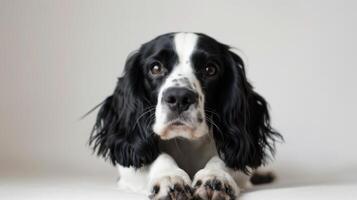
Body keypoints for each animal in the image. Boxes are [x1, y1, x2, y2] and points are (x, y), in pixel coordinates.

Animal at [89, 32, 280, 199]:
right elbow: (154, 156)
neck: (186, 142)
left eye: (210, 69)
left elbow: (226, 158)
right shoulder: (129, 167)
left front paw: (215, 177)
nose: (179, 97)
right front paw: (169, 177)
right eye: (155, 67)